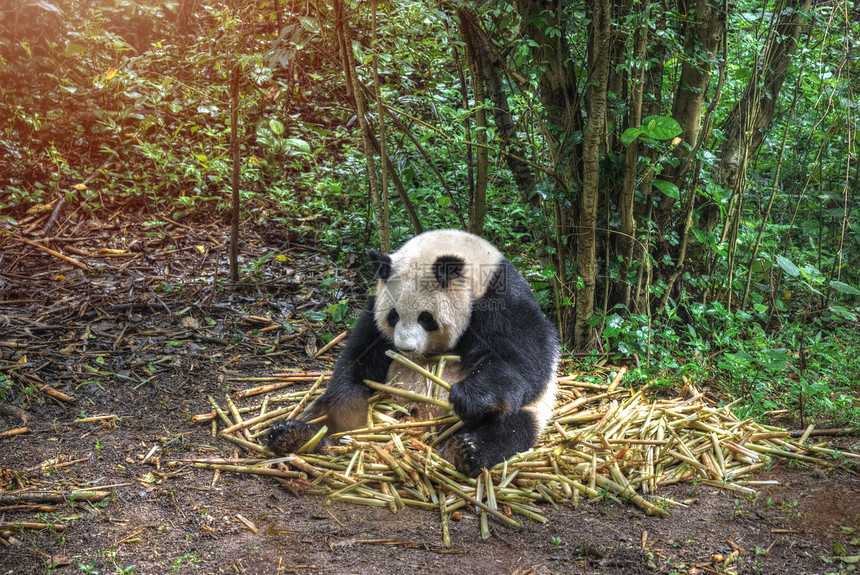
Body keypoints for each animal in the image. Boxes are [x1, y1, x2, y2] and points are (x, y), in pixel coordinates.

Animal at [268, 230, 556, 476]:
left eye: (427, 318)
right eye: (393, 316)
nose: (407, 348)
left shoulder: (502, 300)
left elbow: (522, 362)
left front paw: (467, 396)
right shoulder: (375, 308)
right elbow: (359, 356)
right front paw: (349, 404)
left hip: (530, 412)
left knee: (511, 427)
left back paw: (466, 451)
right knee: (324, 412)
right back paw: (291, 434)